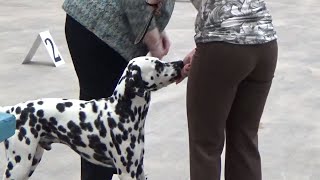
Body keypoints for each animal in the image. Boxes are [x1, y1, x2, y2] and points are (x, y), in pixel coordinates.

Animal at [1, 56, 184, 180]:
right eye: (158, 65)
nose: (181, 63)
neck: (122, 111)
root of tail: (12, 110)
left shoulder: (139, 168)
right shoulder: (126, 172)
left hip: (31, 161)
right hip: (19, 165)